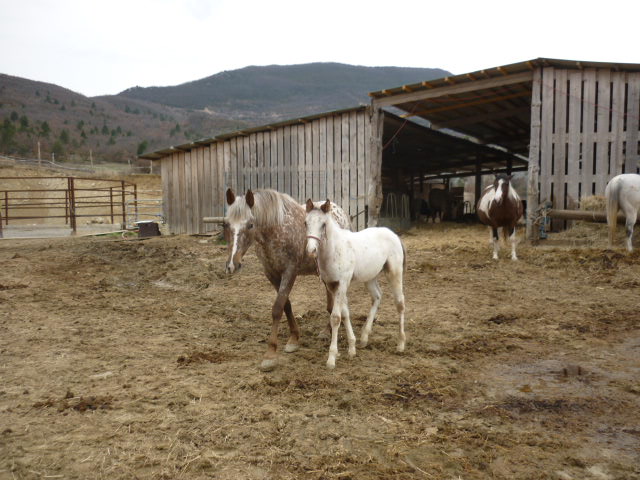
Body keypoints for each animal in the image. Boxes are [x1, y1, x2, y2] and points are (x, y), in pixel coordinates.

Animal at [221, 188, 350, 372]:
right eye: (225, 224)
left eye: (250, 225)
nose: (232, 265)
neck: (276, 231)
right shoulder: (271, 273)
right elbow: (286, 305)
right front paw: (294, 338)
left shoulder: (290, 272)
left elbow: (277, 308)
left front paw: (270, 355)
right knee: (330, 302)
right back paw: (326, 332)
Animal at [304, 198, 404, 368]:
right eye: (306, 223)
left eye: (323, 224)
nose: (311, 251)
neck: (334, 250)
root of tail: (393, 234)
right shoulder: (332, 285)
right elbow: (344, 314)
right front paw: (351, 348)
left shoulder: (342, 283)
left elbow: (336, 317)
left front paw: (331, 358)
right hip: (370, 276)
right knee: (377, 297)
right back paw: (364, 337)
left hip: (395, 271)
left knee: (400, 303)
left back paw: (401, 344)